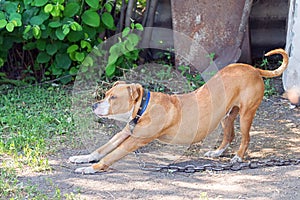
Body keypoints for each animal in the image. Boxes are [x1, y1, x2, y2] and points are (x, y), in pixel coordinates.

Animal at [69, 48, 288, 173]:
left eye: (113, 98)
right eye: (106, 94)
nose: (94, 105)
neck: (143, 108)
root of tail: (253, 69)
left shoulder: (135, 140)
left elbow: (109, 156)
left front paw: (90, 168)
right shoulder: (124, 133)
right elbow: (101, 149)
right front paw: (82, 158)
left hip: (245, 114)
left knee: (245, 138)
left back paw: (238, 157)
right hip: (226, 115)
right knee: (229, 135)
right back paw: (217, 152)